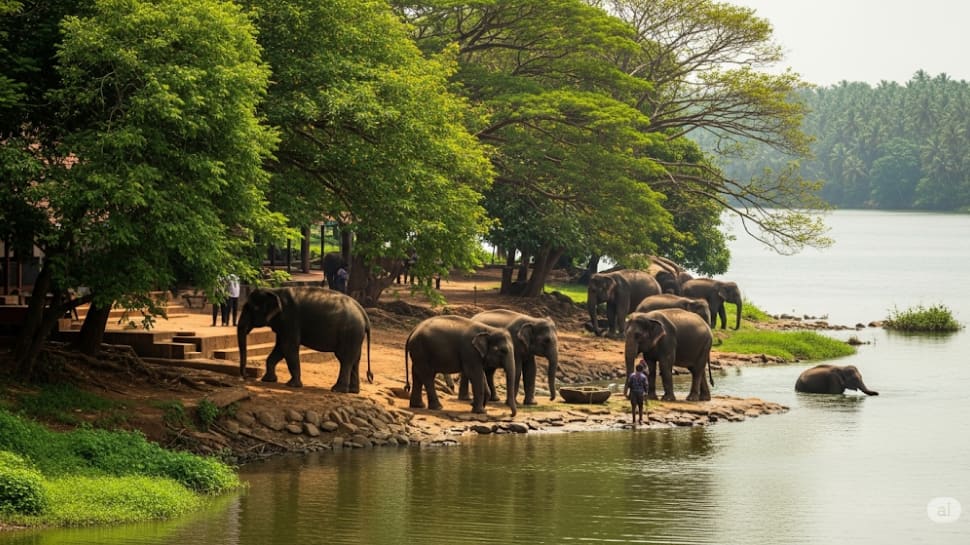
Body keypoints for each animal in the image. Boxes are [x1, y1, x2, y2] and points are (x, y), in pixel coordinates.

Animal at [237, 286, 372, 391]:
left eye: (252, 309)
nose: (246, 376)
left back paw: (337, 390)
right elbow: (280, 348)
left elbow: (288, 347)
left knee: (345, 359)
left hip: (349, 333)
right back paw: (353, 391)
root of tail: (364, 315)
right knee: (355, 359)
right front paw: (268, 380)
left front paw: (292, 385)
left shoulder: (290, 319)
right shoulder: (283, 324)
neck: (274, 291)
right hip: (355, 335)